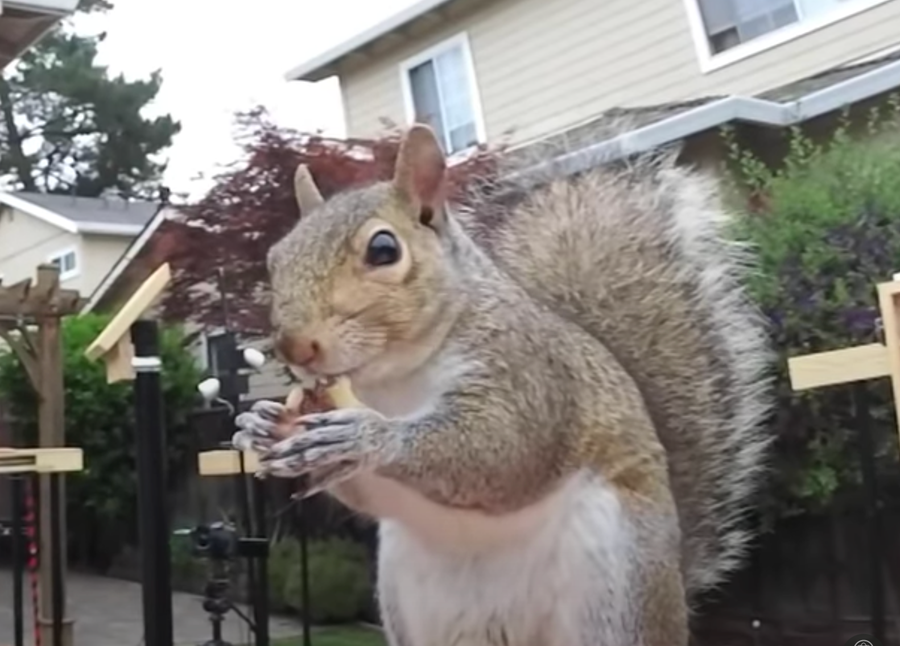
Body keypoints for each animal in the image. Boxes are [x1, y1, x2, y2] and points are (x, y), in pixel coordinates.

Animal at [232, 123, 772, 646]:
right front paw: (259, 424)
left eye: (384, 249)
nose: (294, 346)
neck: (395, 380)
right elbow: (364, 495)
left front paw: (368, 436)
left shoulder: (529, 373)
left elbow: (504, 448)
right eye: (275, 258)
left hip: (617, 597)